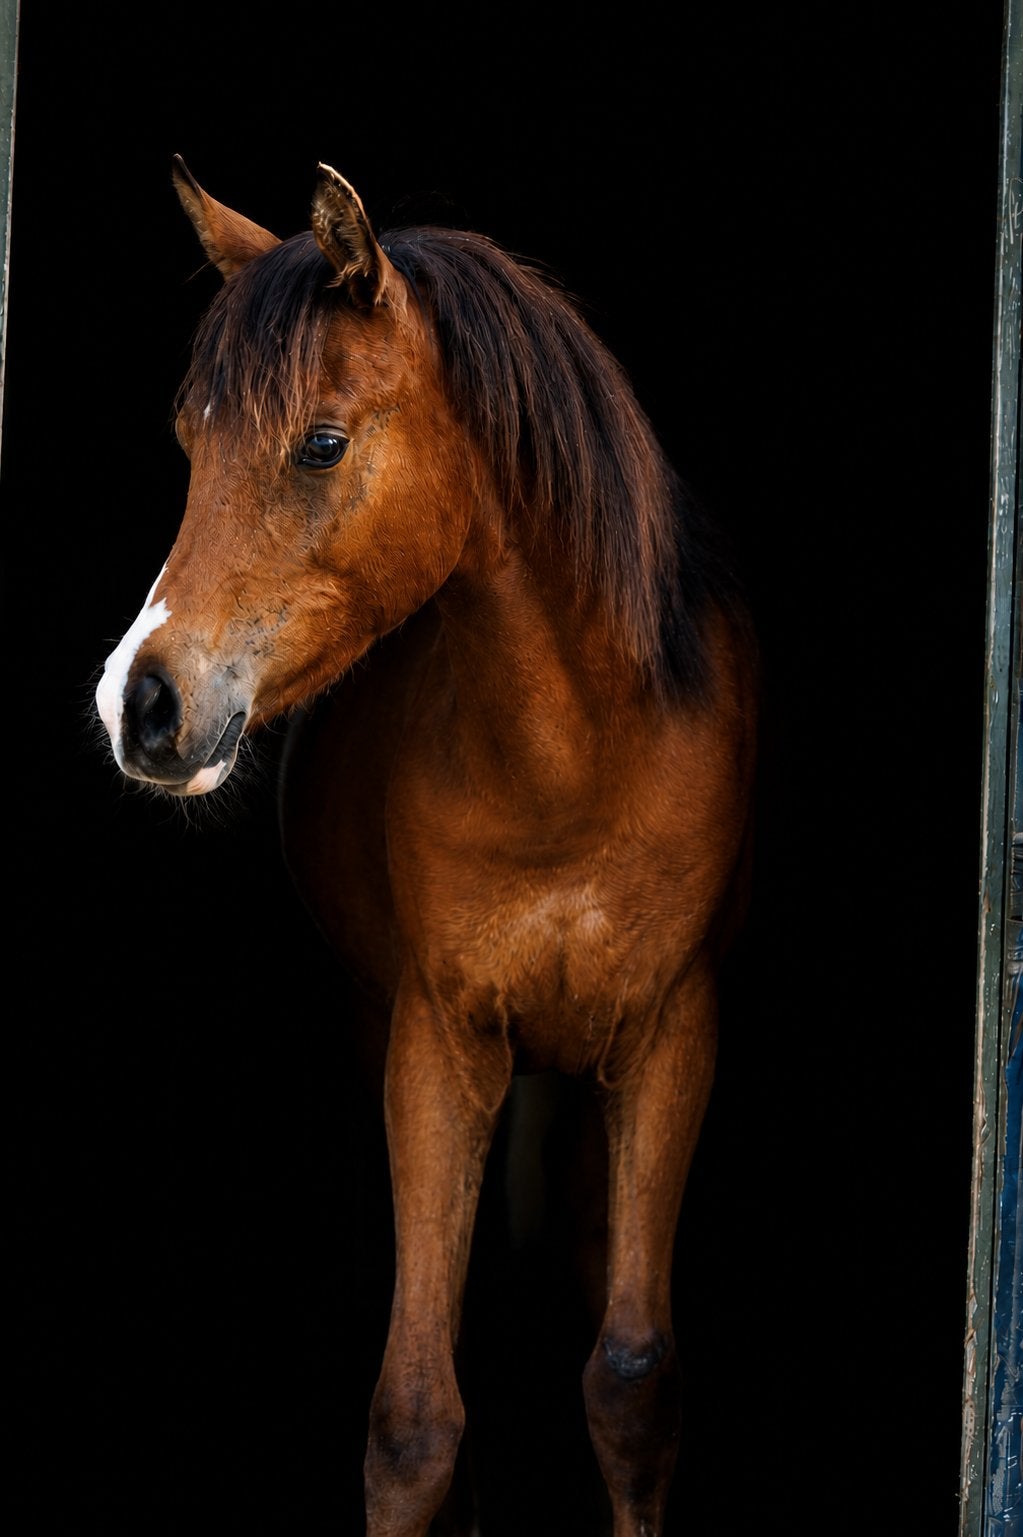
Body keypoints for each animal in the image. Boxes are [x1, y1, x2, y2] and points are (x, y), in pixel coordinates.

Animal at [94, 156, 757, 1536]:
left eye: (323, 442)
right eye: (188, 443)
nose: (141, 703)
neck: (577, 758)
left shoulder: (673, 1030)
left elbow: (631, 1381)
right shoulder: (436, 1044)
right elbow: (415, 1414)